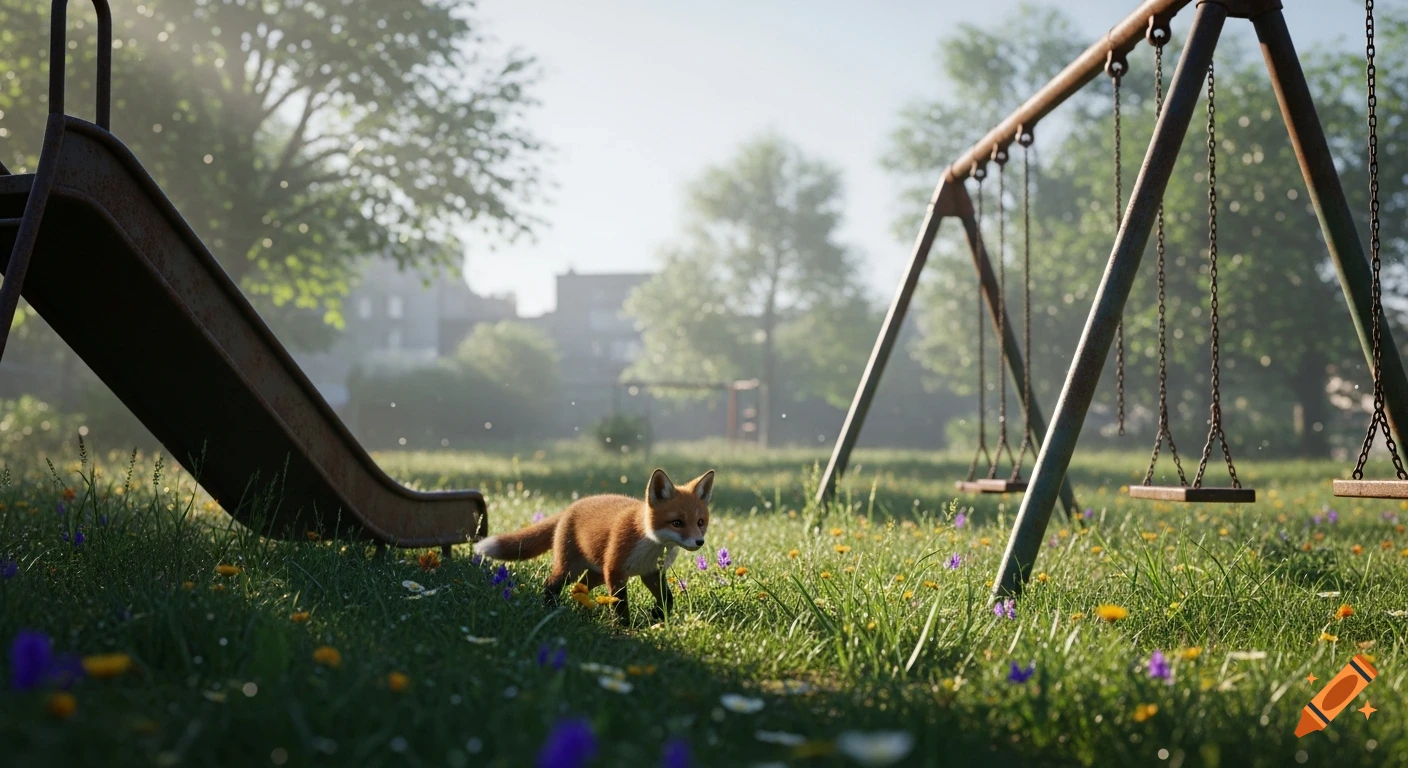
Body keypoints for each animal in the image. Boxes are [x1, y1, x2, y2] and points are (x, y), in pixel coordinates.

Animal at [472, 468, 714, 623]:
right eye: (677, 522)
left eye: (700, 522)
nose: (699, 542)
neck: (649, 542)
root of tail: (570, 508)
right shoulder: (615, 571)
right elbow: (620, 606)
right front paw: (624, 629)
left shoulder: (651, 572)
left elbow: (667, 599)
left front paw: (658, 615)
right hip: (570, 569)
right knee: (551, 584)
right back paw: (550, 610)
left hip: (595, 573)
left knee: (580, 587)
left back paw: (581, 608)